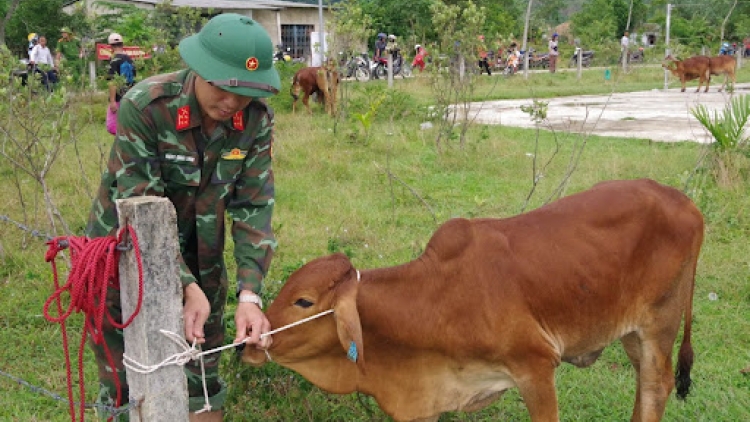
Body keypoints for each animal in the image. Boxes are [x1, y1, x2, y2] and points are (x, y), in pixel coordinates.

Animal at [248, 178, 704, 422]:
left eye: (303, 302)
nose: (250, 342)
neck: (433, 301)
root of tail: (681, 199)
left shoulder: (536, 367)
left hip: (660, 322)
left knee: (656, 386)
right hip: (632, 333)